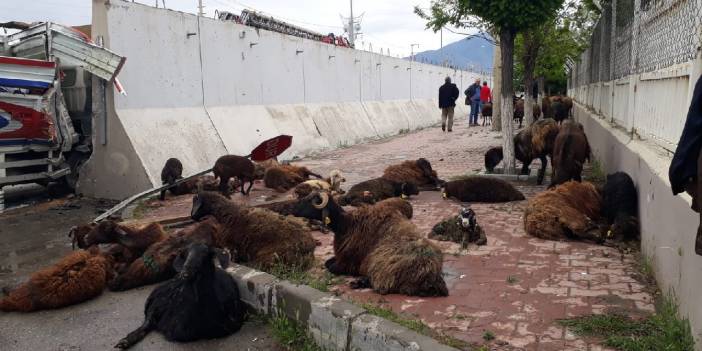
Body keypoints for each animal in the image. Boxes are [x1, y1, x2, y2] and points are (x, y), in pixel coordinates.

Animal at [292, 192, 448, 296]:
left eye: (309, 200)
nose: (290, 209)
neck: (346, 224)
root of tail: (432, 275)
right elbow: (327, 262)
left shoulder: (349, 263)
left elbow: (330, 266)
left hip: (381, 263)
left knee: (381, 285)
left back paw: (358, 282)